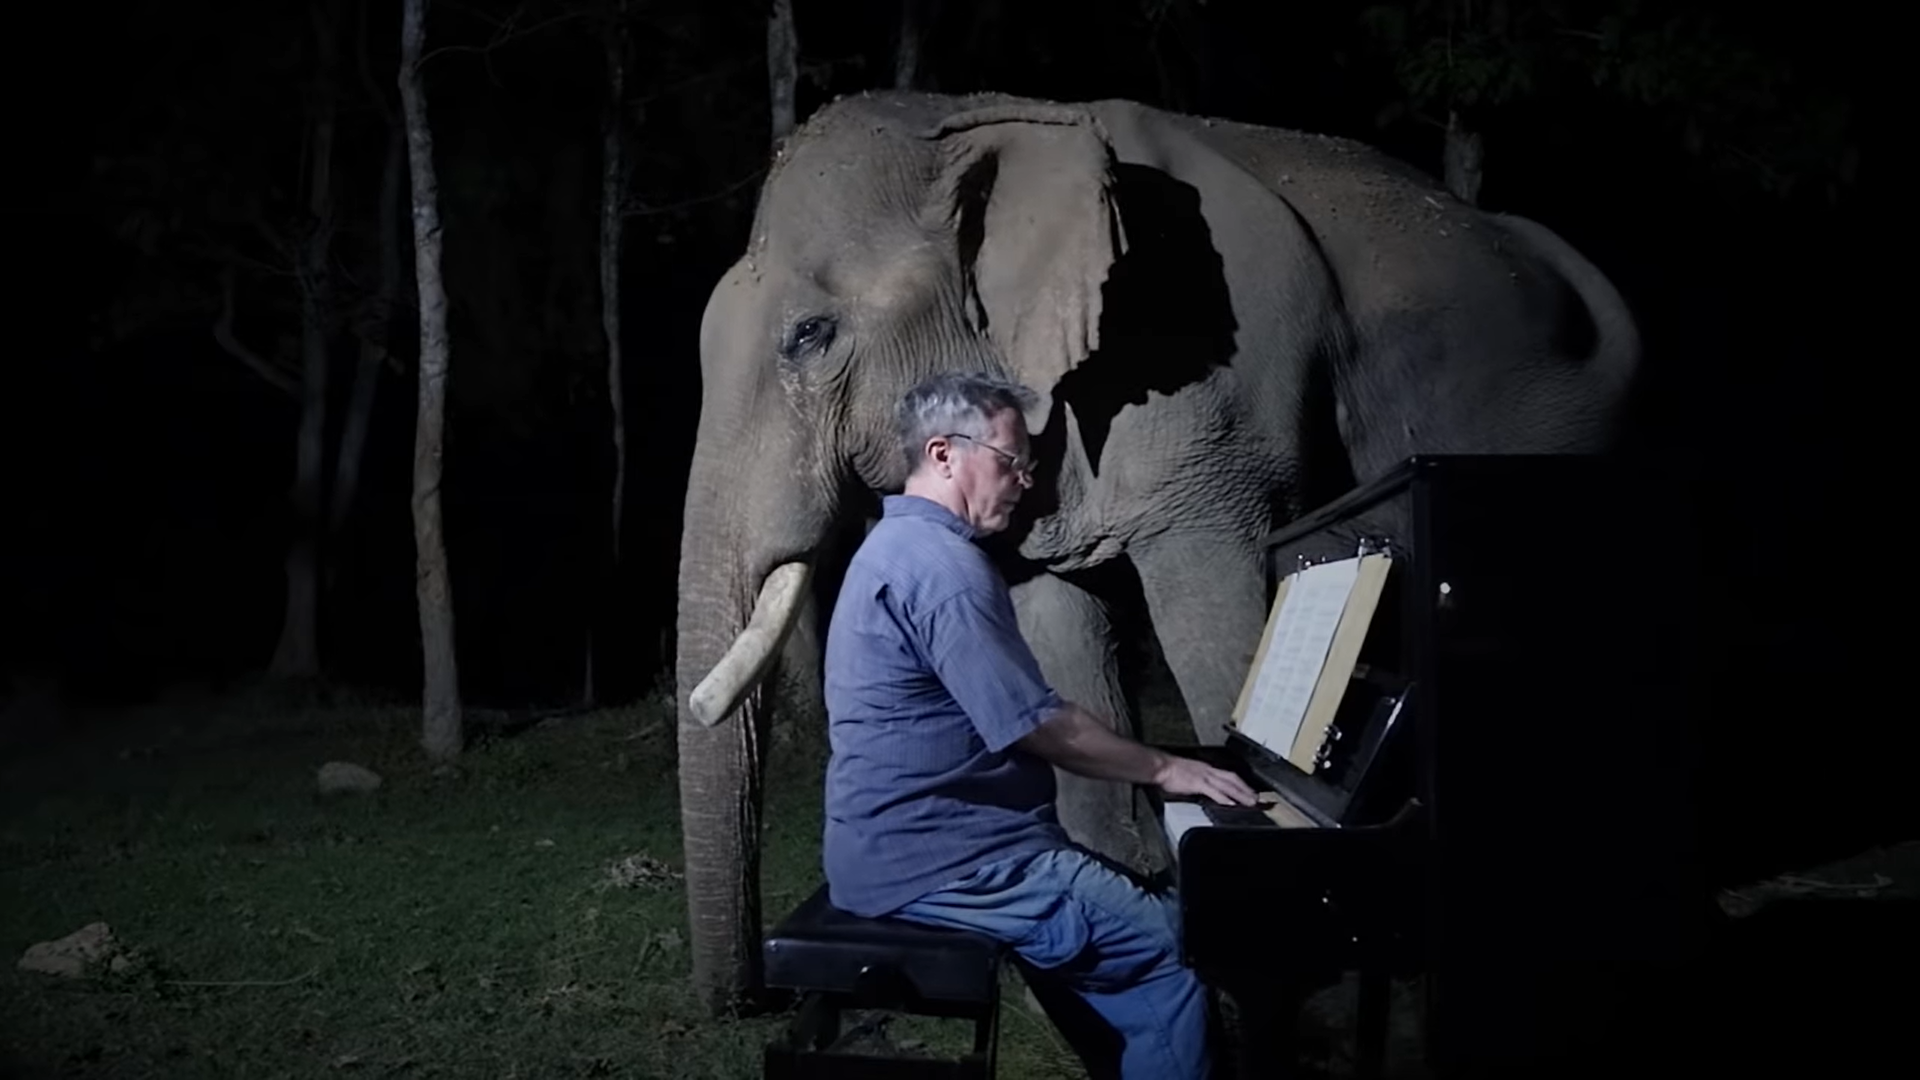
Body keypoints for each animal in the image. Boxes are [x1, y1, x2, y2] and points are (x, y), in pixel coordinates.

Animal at [672, 90, 1635, 1006]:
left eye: (810, 336)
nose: (752, 997)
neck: (968, 113)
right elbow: (1053, 633)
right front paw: (1131, 902)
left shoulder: (1213, 381)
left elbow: (1213, 619)